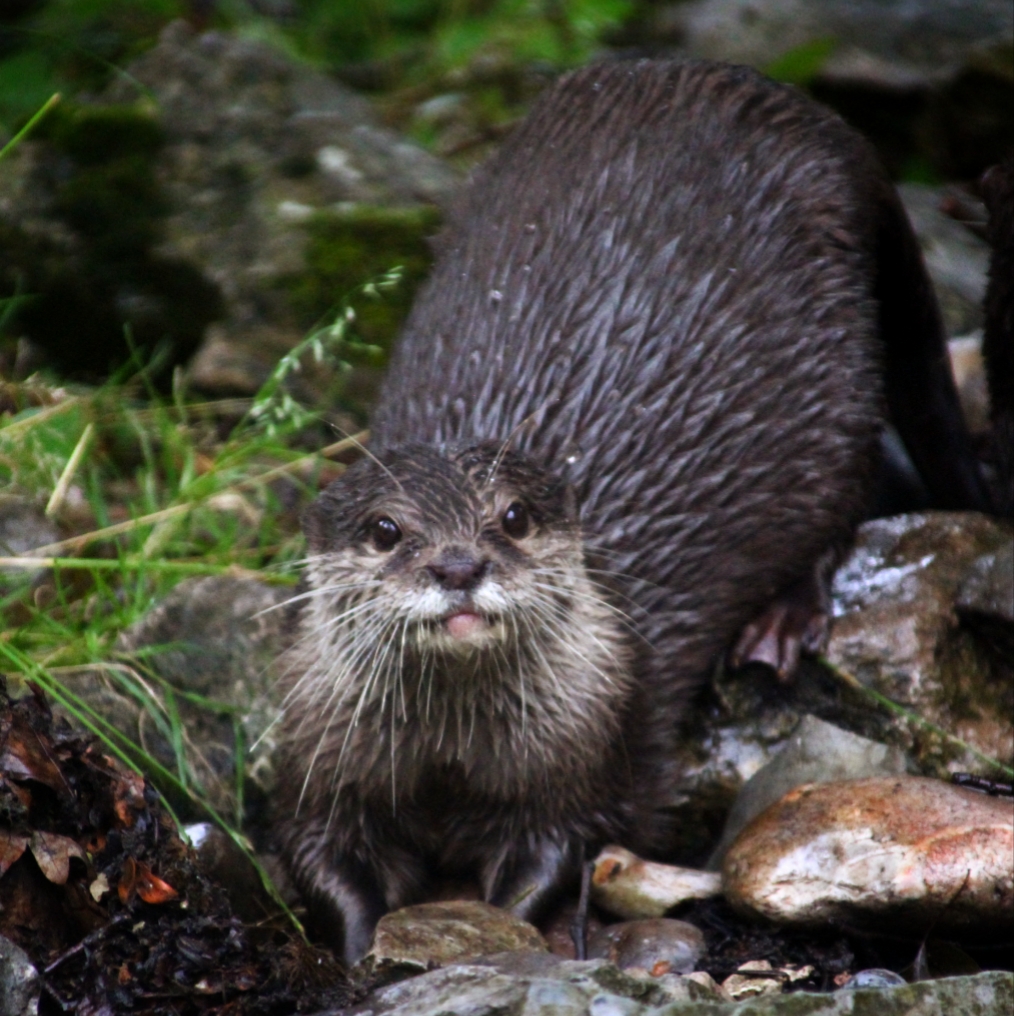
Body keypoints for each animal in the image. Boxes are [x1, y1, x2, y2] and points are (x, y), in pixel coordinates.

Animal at [275, 59, 989, 965]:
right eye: (385, 530)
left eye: (513, 517)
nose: (458, 566)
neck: (452, 762)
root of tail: (794, 111)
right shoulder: (317, 761)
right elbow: (319, 858)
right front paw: (365, 943)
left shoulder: (593, 745)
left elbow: (561, 854)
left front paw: (496, 934)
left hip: (841, 392)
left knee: (848, 492)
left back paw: (780, 623)